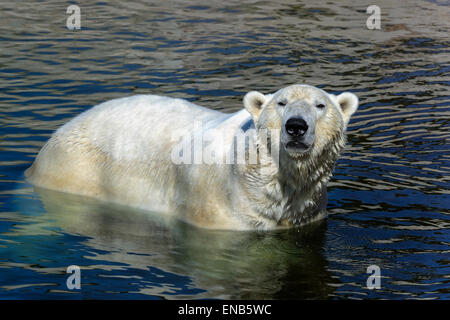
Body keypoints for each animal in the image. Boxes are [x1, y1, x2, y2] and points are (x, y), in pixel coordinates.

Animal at [26, 85, 358, 230]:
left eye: (320, 105)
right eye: (281, 102)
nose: (296, 126)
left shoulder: (309, 211)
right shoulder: (217, 208)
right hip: (77, 168)